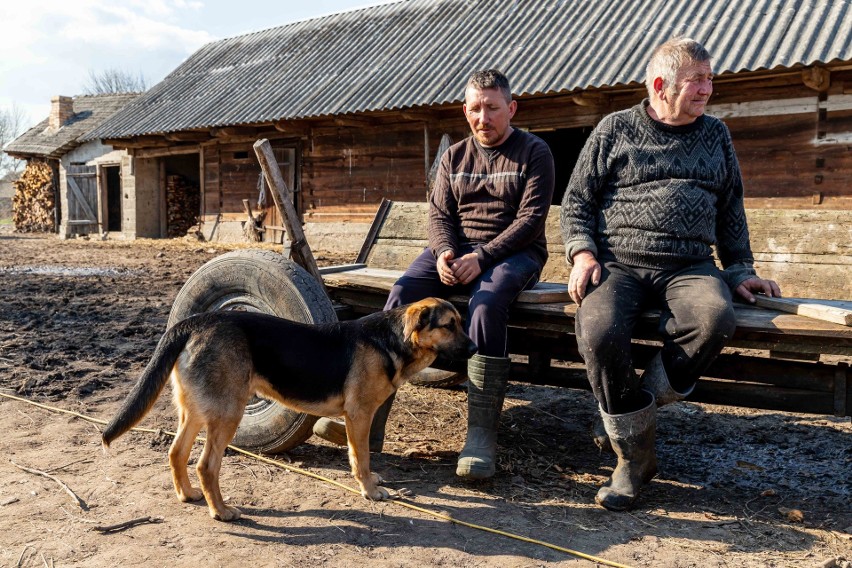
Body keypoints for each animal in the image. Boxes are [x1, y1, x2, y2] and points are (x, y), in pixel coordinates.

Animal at [102, 298, 476, 524]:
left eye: (461, 322)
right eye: (449, 325)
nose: (475, 348)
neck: (392, 340)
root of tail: (196, 322)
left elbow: (363, 458)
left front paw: (372, 483)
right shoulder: (358, 416)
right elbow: (362, 458)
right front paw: (370, 491)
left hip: (197, 411)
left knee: (176, 452)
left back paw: (187, 495)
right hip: (228, 413)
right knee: (206, 465)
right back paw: (221, 511)